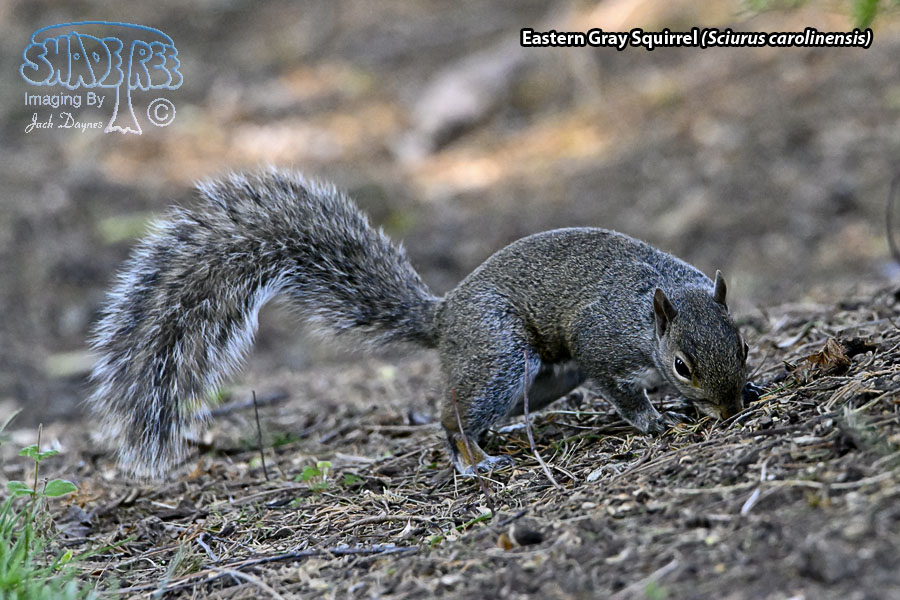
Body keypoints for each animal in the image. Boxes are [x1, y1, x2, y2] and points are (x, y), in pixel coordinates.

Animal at [89, 169, 749, 478]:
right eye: (683, 365)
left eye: (742, 347)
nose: (731, 409)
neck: (654, 306)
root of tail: (446, 314)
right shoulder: (603, 346)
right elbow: (623, 391)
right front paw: (655, 420)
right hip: (499, 354)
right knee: (450, 418)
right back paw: (474, 458)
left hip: (542, 375)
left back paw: (499, 436)